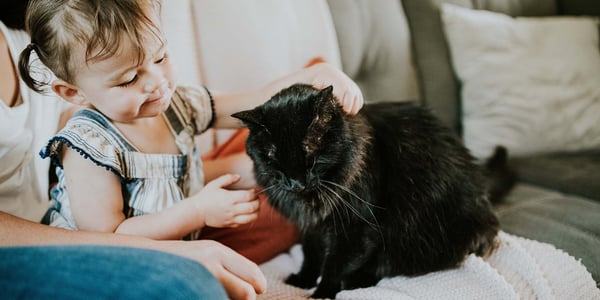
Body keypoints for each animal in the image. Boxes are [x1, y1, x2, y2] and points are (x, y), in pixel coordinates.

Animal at [232, 83, 512, 298]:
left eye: (309, 155)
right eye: (273, 158)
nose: (295, 182)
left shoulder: (355, 227)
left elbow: (334, 264)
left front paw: (323, 293)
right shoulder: (311, 226)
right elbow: (311, 254)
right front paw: (303, 279)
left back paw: (354, 281)